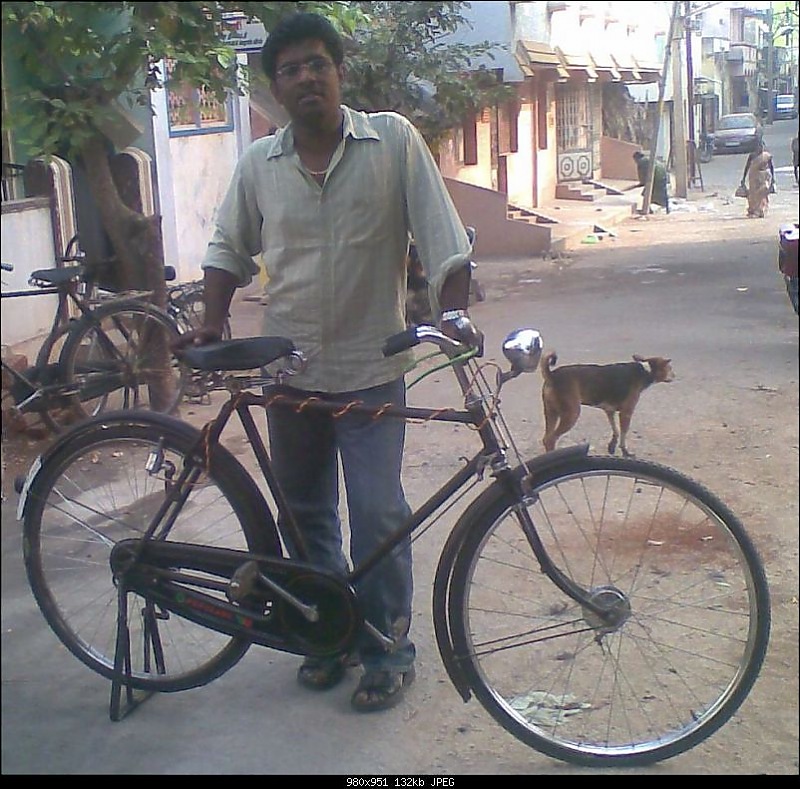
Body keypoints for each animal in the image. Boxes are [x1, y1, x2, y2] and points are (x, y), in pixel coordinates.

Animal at [536, 350, 676, 456]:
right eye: (669, 368)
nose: (675, 376)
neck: (646, 370)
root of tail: (552, 376)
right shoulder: (626, 413)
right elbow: (623, 433)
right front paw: (625, 452)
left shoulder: (610, 411)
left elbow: (616, 430)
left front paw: (612, 446)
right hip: (571, 414)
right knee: (551, 439)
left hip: (551, 412)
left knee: (546, 438)